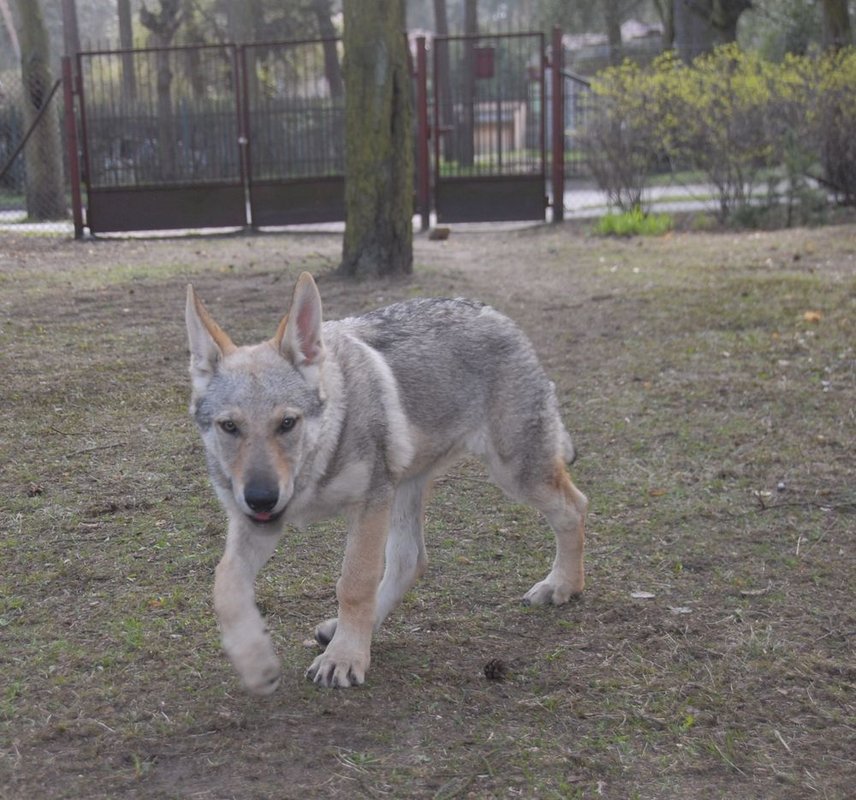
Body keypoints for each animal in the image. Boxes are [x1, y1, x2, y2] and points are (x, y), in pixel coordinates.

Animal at [185, 272, 587, 694]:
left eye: (287, 423)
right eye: (230, 427)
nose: (261, 498)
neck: (318, 461)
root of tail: (496, 312)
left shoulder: (369, 503)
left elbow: (354, 582)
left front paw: (345, 659)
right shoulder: (257, 524)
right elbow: (225, 583)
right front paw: (255, 660)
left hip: (515, 474)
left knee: (575, 507)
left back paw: (563, 585)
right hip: (407, 487)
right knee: (411, 559)